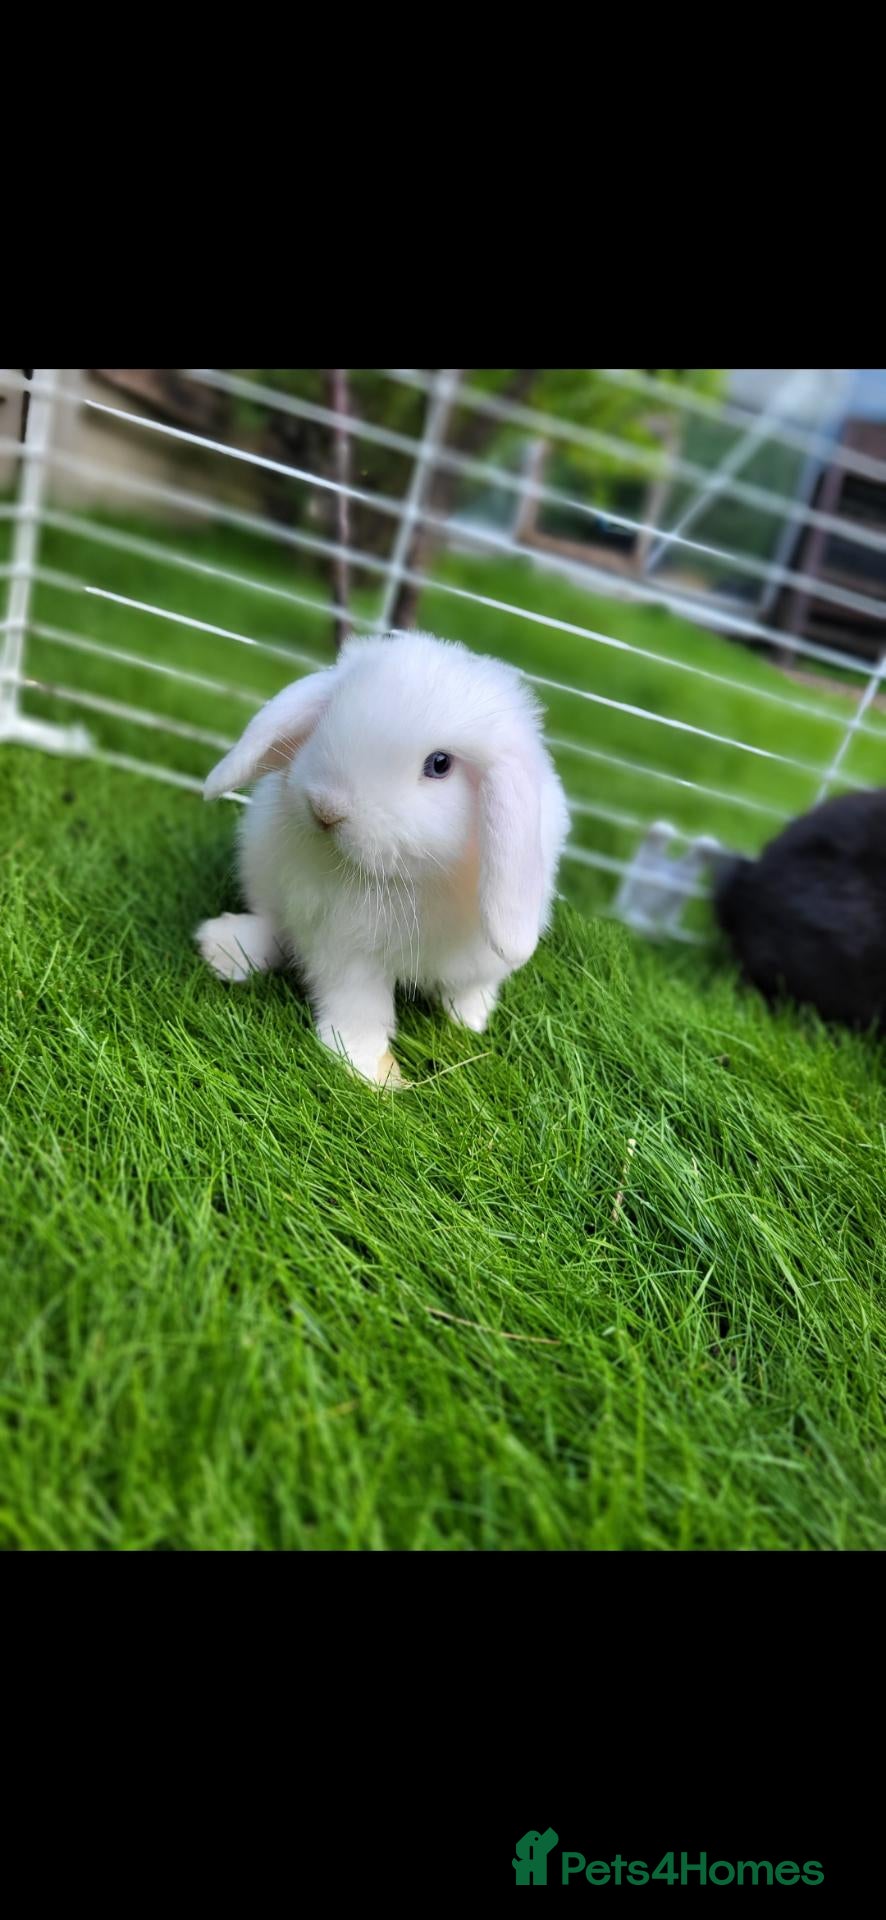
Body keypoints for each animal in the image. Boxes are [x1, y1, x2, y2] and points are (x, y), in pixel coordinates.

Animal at [196, 630, 571, 1086]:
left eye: (439, 764)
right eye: (330, 714)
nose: (326, 808)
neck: (398, 879)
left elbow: (468, 989)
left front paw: (469, 1023)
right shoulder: (346, 948)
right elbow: (358, 1005)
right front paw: (363, 1065)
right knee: (274, 927)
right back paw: (222, 948)